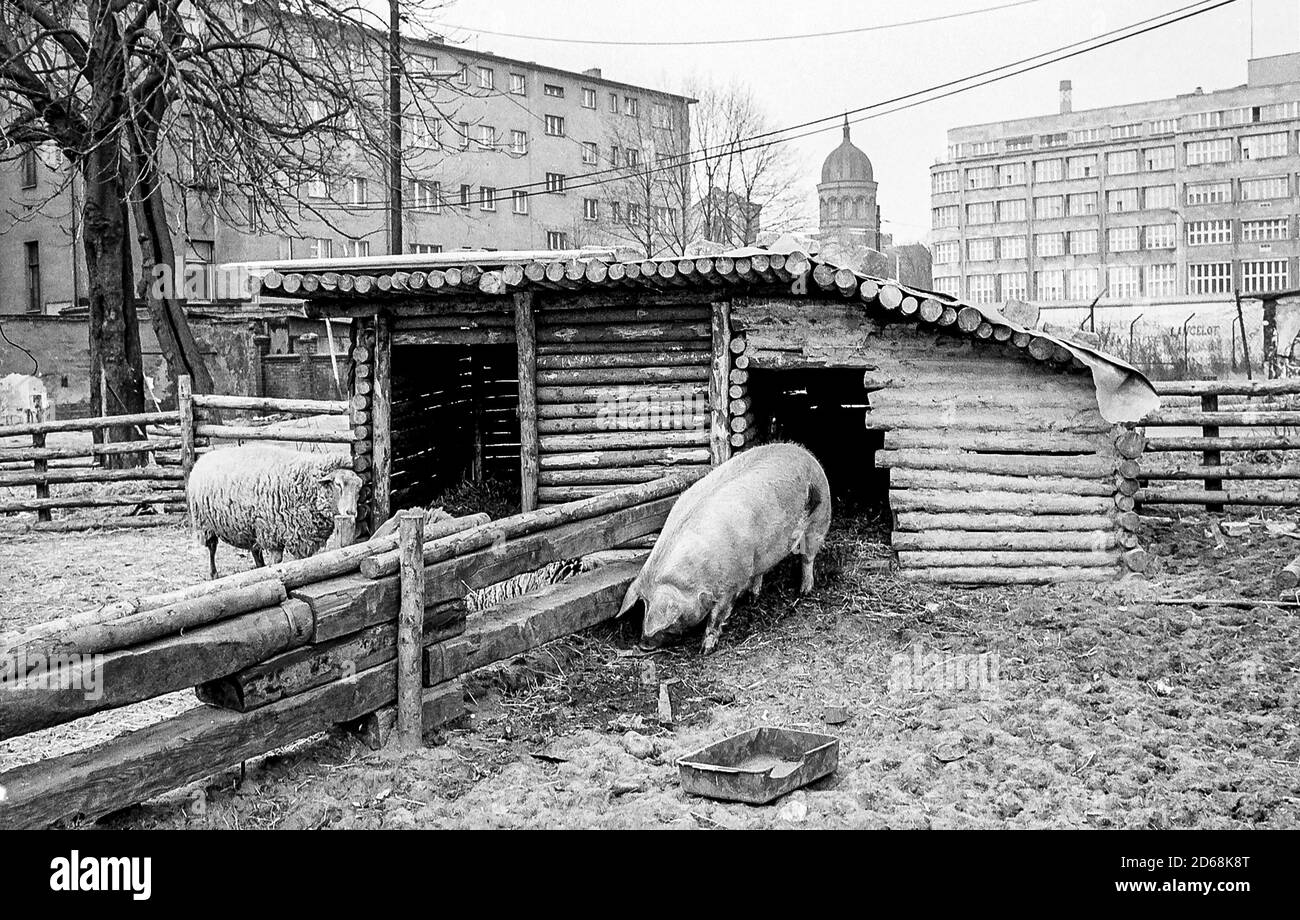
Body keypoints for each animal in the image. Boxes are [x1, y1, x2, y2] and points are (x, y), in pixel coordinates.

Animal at [188, 444, 364, 579]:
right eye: (338, 484)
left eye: (359, 487)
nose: (351, 512)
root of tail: (203, 458)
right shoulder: (272, 531)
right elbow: (277, 560)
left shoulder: (301, 536)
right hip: (205, 524)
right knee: (212, 548)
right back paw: (214, 574)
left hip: (252, 526)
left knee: (255, 550)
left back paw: (259, 568)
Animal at [618, 444, 832, 654]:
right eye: (643, 606)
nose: (643, 645)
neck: (699, 574)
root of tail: (805, 453)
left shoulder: (730, 584)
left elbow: (717, 616)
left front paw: (705, 650)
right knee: (761, 572)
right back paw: (753, 597)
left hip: (819, 520)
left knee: (808, 558)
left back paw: (804, 591)